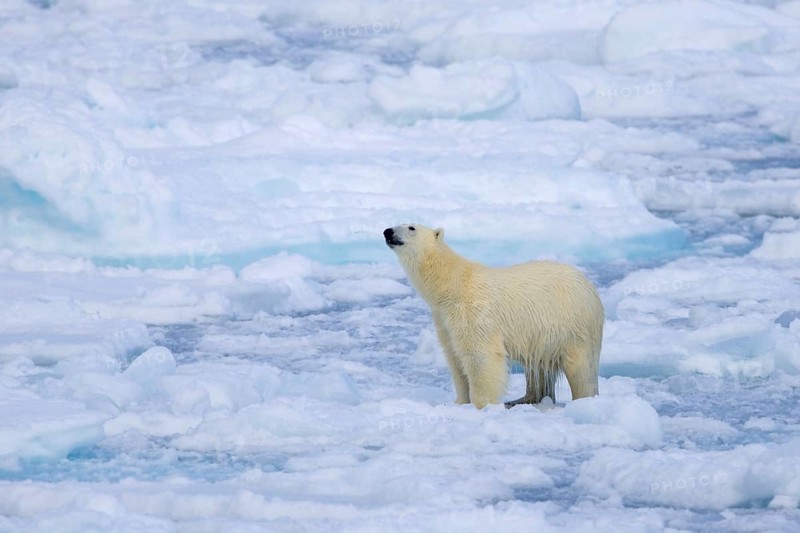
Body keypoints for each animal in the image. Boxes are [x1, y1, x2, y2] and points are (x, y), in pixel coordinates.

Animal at [384, 223, 604, 409]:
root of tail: (590, 287)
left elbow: (480, 357)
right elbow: (454, 359)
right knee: (538, 366)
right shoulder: (443, 319)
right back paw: (525, 399)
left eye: (411, 227)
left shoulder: (474, 313)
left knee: (581, 370)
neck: (452, 286)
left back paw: (584, 401)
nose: (388, 231)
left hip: (573, 326)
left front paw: (482, 405)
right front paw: (459, 402)